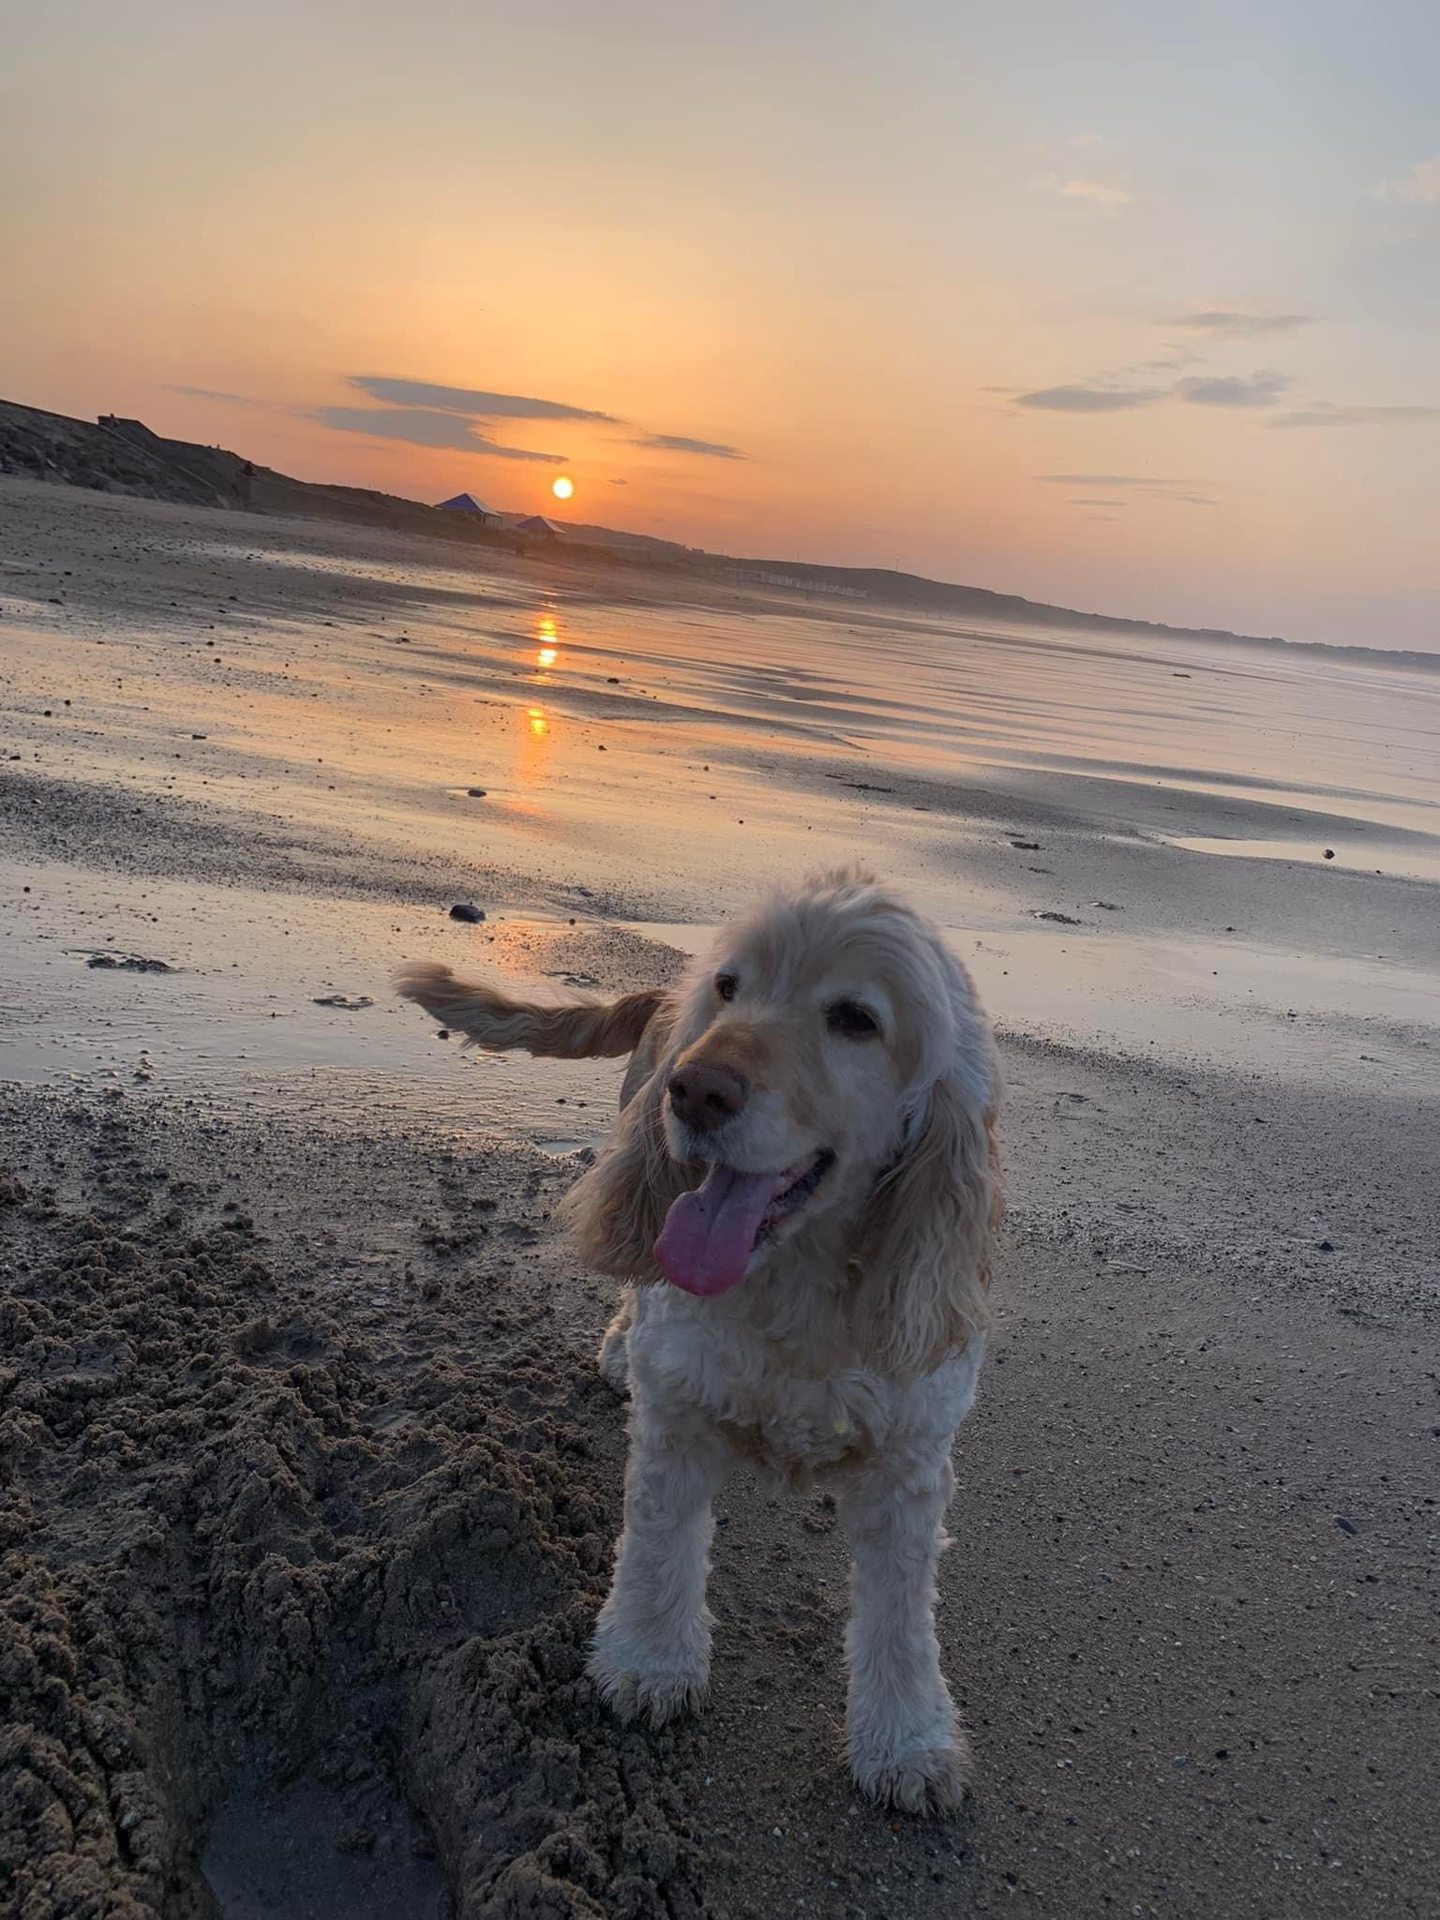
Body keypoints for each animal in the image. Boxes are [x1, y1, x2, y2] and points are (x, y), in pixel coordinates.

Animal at [395, 871, 1006, 1812]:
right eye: (731, 986)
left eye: (856, 1019)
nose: (694, 1090)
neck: (793, 1282)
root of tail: (660, 996)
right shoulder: (677, 1407)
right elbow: (660, 1547)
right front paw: (649, 1662)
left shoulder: (909, 1463)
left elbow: (902, 1618)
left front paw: (908, 1744)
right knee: (637, 1272)